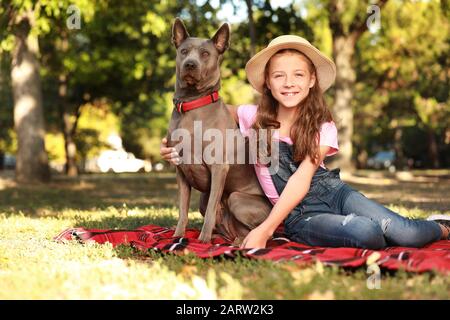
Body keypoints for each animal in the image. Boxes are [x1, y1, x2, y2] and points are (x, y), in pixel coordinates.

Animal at [166, 18, 268, 244]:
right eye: (184, 51)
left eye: (205, 54)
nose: (190, 64)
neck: (192, 104)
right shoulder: (180, 171)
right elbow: (182, 210)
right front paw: (177, 236)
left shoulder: (219, 168)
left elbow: (212, 209)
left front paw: (203, 241)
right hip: (203, 199)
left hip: (237, 198)